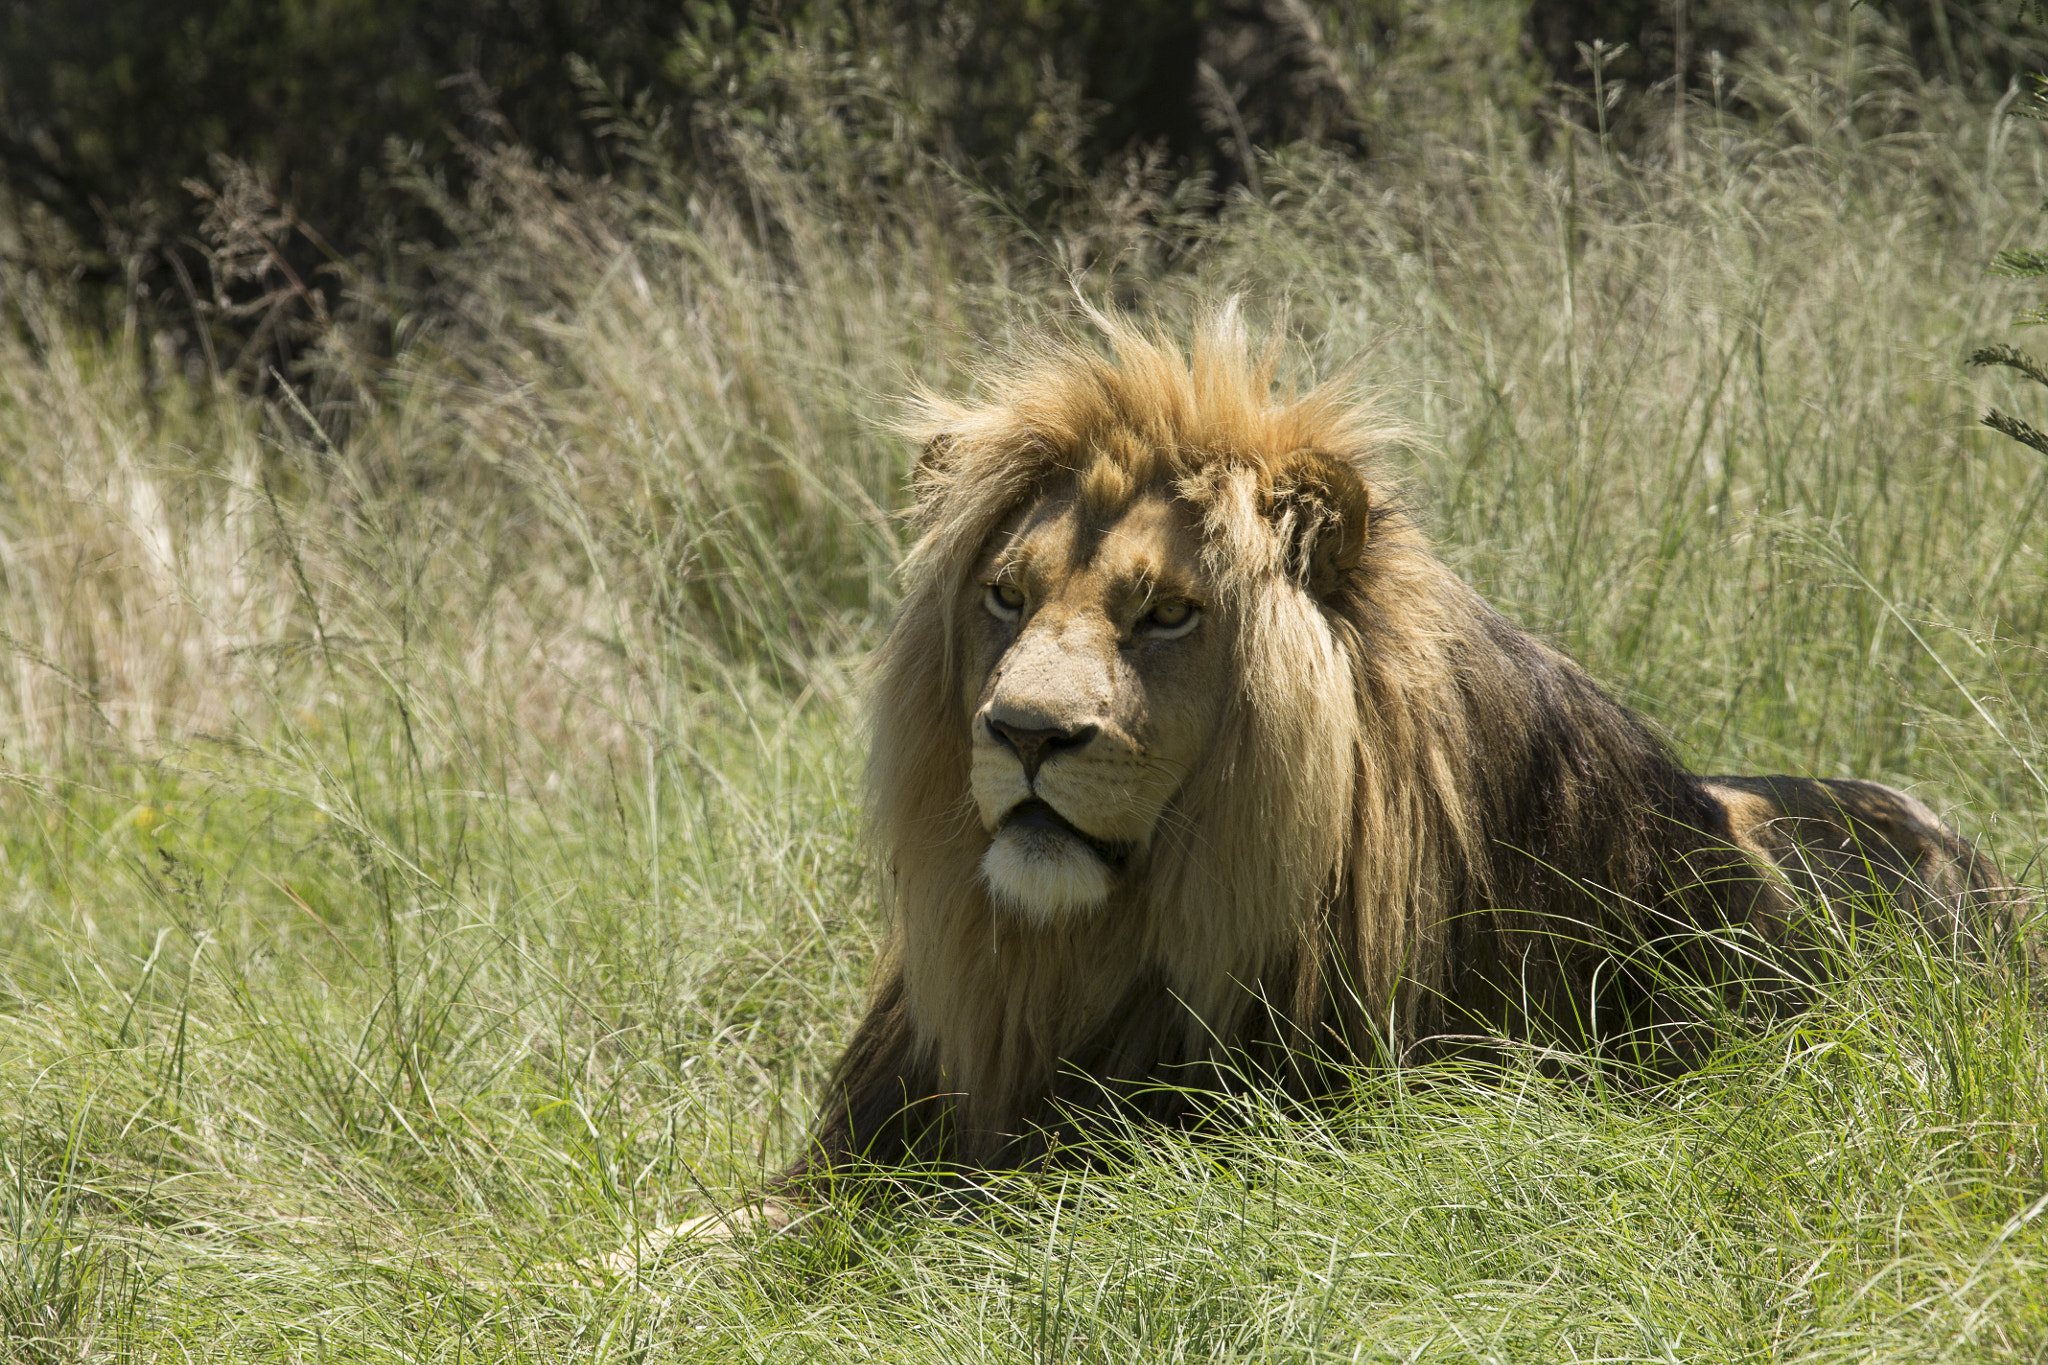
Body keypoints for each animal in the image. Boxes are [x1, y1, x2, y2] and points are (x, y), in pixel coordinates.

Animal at [630, 306, 2023, 1260]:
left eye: (1166, 614)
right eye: (1006, 598)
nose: (1022, 730)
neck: (1078, 954)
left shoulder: (1159, 1153)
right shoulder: (866, 1153)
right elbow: (677, 1238)